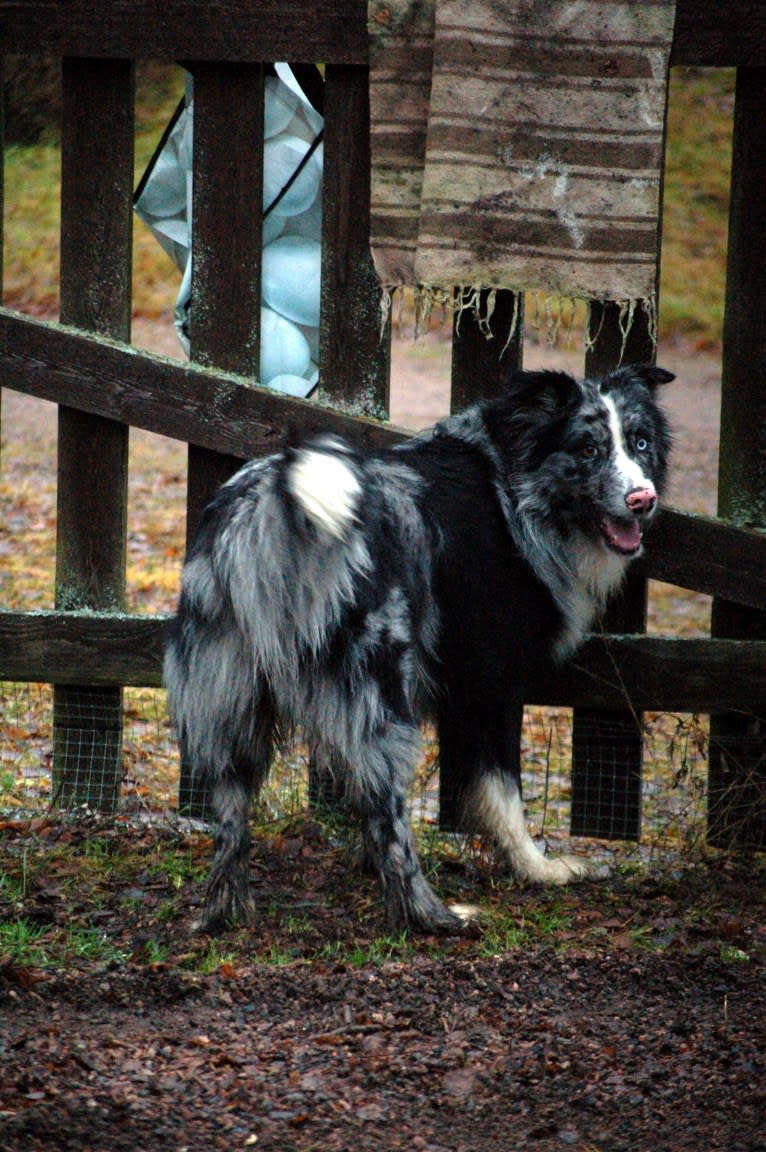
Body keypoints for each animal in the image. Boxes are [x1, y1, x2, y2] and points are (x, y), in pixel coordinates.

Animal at [165, 364, 668, 930]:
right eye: (587, 449)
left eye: (641, 442)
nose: (643, 500)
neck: (515, 485)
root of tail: (272, 502)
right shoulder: (489, 682)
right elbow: (502, 792)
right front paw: (537, 869)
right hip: (381, 696)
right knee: (392, 817)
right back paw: (431, 915)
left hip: (229, 695)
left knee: (231, 818)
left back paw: (225, 911)